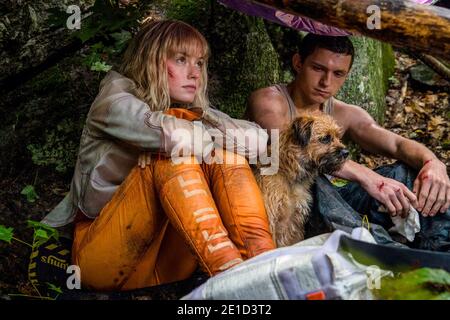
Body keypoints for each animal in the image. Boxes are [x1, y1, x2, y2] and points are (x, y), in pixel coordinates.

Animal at [255, 114, 350, 248]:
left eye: (338, 137)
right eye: (325, 139)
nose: (346, 152)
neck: (288, 173)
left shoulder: (296, 222)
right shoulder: (271, 220)